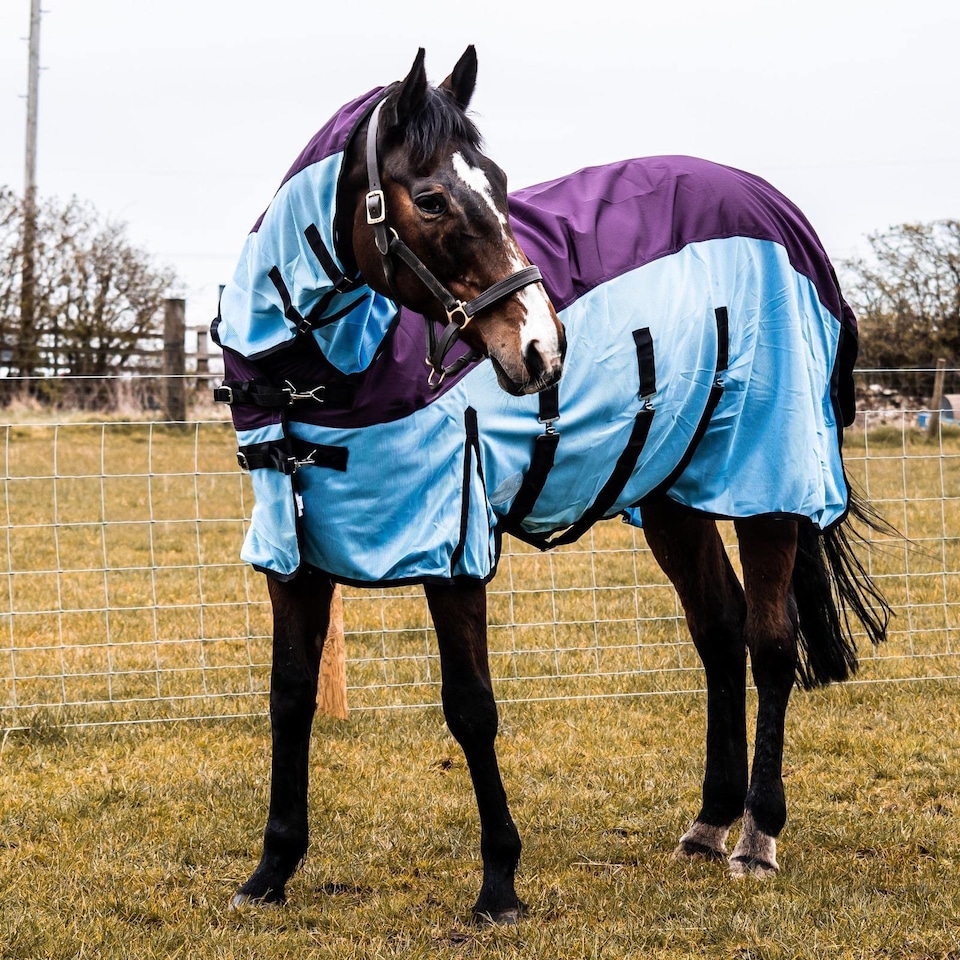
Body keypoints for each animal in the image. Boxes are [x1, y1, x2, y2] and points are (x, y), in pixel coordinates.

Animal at [212, 46, 892, 923]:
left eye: (502, 187)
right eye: (430, 198)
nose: (542, 348)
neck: (319, 379)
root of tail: (779, 213)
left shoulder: (453, 548)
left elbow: (471, 708)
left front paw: (499, 882)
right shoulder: (294, 556)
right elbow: (290, 697)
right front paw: (271, 870)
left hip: (770, 484)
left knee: (771, 644)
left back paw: (757, 838)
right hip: (672, 497)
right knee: (719, 632)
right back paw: (710, 822)